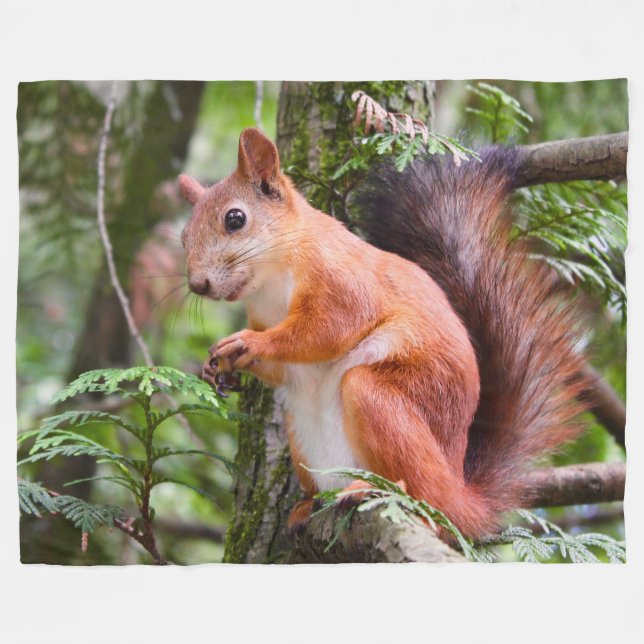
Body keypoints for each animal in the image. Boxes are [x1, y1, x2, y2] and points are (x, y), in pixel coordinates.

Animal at [178, 127, 588, 540]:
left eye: (235, 219)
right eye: (183, 236)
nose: (197, 285)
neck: (271, 279)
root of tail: (460, 494)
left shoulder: (342, 280)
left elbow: (326, 330)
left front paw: (248, 343)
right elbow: (284, 367)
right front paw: (219, 368)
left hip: (381, 400)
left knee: (424, 495)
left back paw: (378, 490)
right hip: (303, 438)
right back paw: (309, 505)